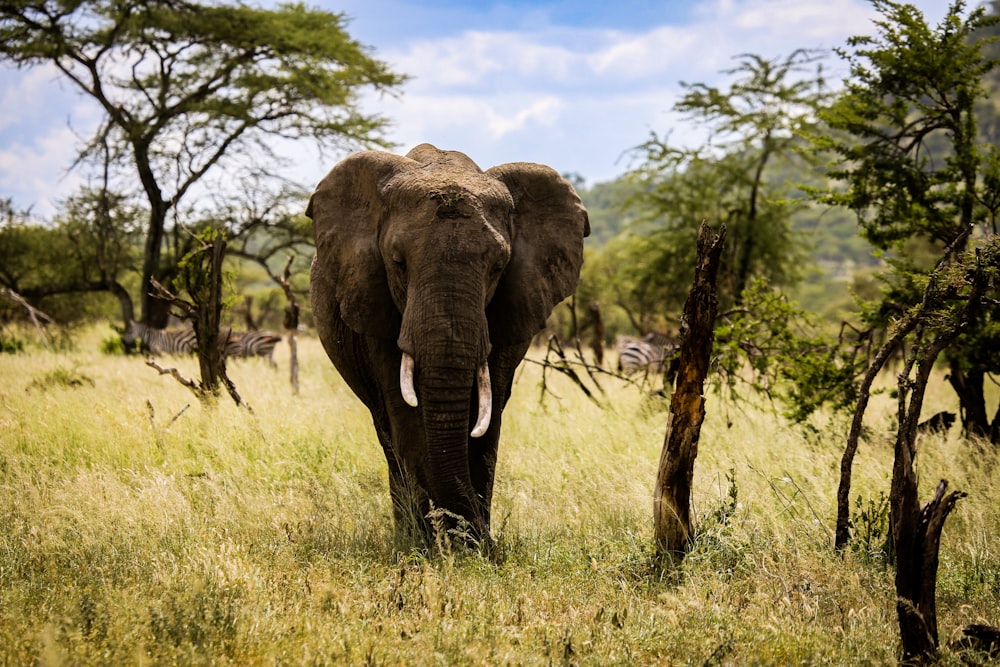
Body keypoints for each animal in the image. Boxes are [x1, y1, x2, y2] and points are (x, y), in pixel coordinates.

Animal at [304, 144, 584, 544]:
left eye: (498, 266)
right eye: (398, 262)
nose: (476, 536)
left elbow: (488, 415)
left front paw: (475, 546)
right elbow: (405, 414)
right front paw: (430, 547)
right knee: (386, 431)